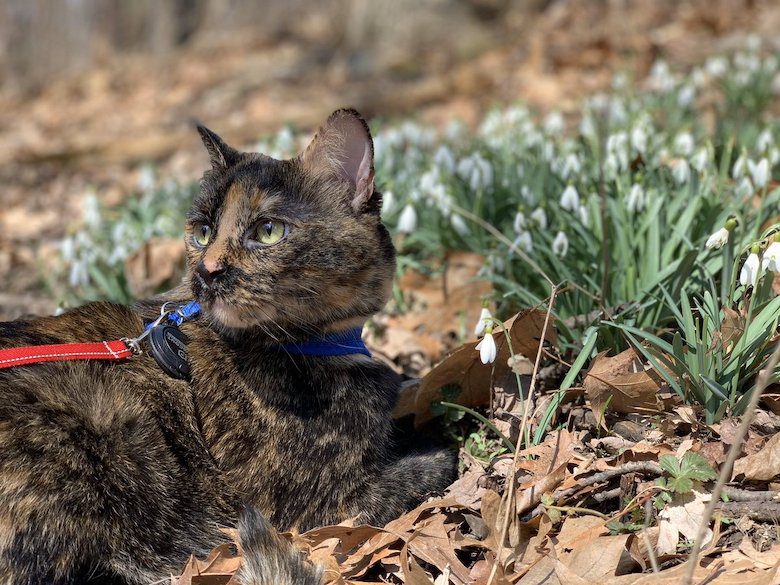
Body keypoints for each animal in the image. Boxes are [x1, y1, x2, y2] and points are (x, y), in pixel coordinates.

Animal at [0, 110, 458, 584]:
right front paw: (439, 439)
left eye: (268, 231)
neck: (324, 345)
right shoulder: (321, 507)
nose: (206, 271)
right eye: (203, 231)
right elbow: (435, 460)